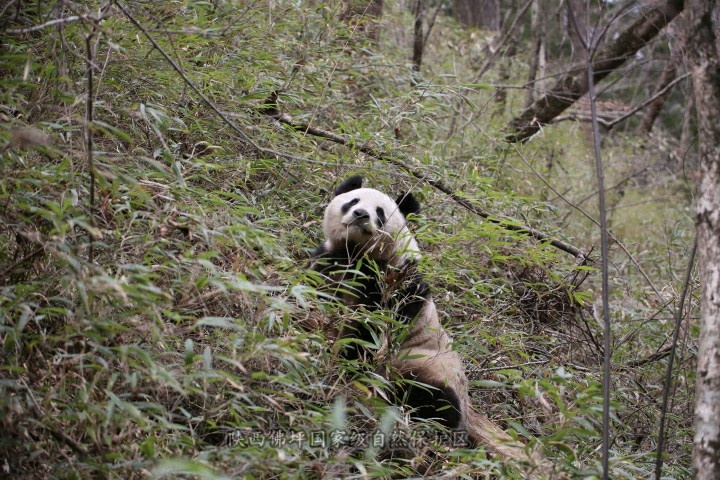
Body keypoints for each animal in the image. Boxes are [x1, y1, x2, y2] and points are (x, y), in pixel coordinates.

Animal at [312, 176, 476, 438]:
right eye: (353, 201)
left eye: (380, 212)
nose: (360, 214)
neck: (357, 254)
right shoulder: (330, 261)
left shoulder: (398, 285)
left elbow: (371, 331)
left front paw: (348, 364)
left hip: (427, 366)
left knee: (438, 401)